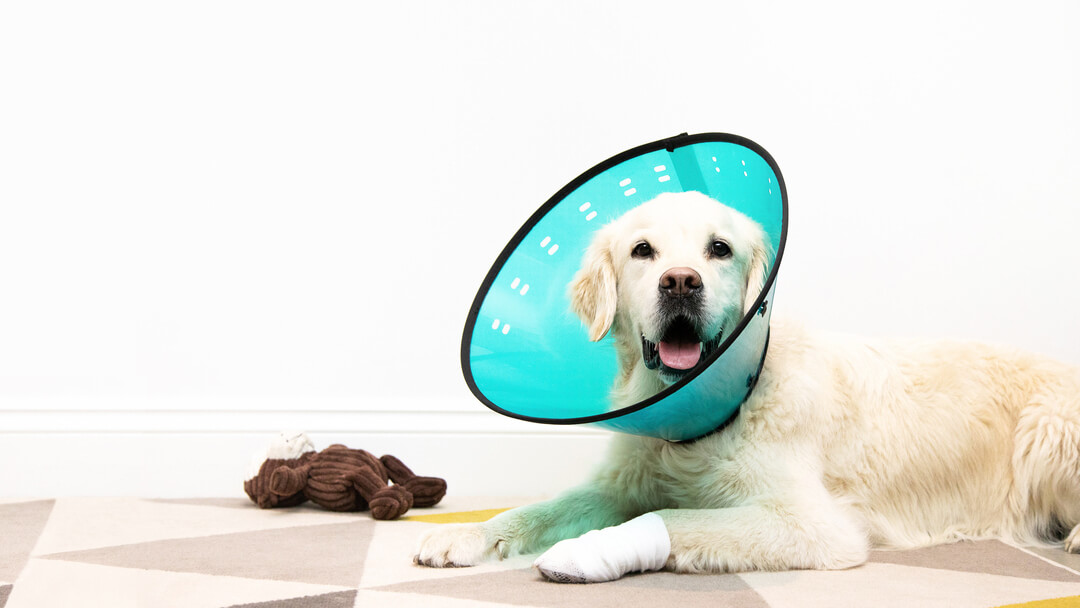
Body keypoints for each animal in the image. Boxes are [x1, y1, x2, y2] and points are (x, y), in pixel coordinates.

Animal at [412, 191, 1080, 583]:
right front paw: (462, 536)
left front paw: (589, 549)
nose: (681, 282)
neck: (706, 416)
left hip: (1049, 429)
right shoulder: (622, 482)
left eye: (719, 249)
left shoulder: (812, 524)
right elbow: (539, 508)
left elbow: (673, 517)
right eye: (642, 251)